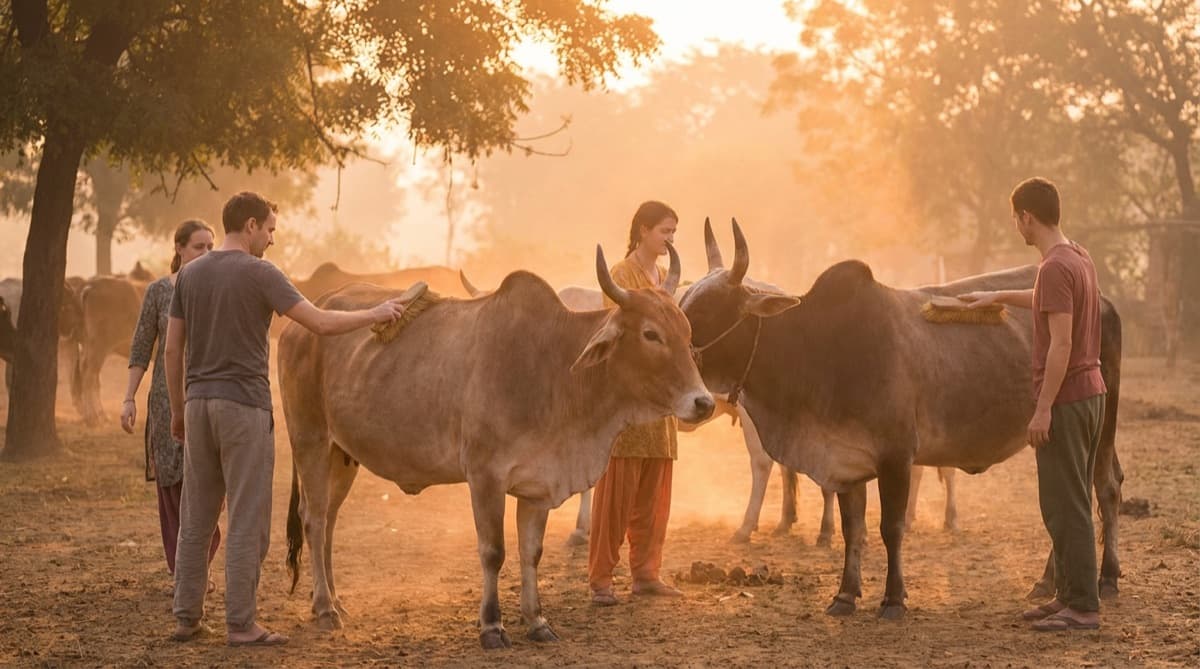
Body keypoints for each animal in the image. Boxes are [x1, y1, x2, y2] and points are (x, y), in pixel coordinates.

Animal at [280, 245, 714, 648]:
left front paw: (537, 621)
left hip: (342, 455)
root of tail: (305, 317)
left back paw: (335, 599)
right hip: (310, 440)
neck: (554, 369)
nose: (704, 402)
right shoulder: (484, 477)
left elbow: (531, 552)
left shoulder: (538, 485)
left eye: (686, 332)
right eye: (651, 334)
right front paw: (491, 626)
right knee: (314, 518)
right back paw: (324, 607)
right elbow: (493, 551)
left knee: (330, 519)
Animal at [679, 220, 1122, 618]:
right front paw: (844, 596)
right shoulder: (845, 461)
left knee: (1102, 489)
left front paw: (893, 600)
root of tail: (1102, 298)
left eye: (707, 312)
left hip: (1100, 424)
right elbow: (852, 530)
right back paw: (1049, 582)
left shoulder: (896, 457)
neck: (818, 348)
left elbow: (890, 528)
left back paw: (1105, 578)